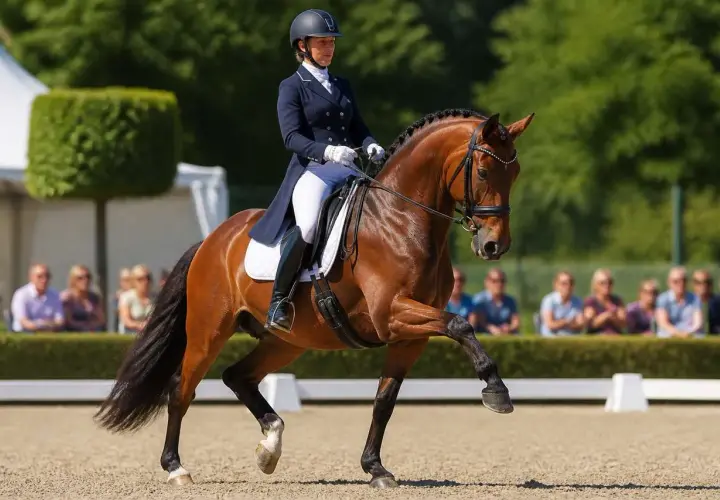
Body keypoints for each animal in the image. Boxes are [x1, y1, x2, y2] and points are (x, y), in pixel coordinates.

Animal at [94, 108, 534, 488]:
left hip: (287, 341)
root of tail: (212, 239)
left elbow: (385, 401)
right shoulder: (392, 314)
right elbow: (462, 324)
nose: (494, 246)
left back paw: (269, 447)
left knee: (237, 376)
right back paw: (176, 468)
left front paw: (375, 468)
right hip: (208, 331)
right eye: (483, 171)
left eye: (515, 174)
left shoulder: (411, 335)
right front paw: (496, 389)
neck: (402, 220)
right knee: (180, 389)